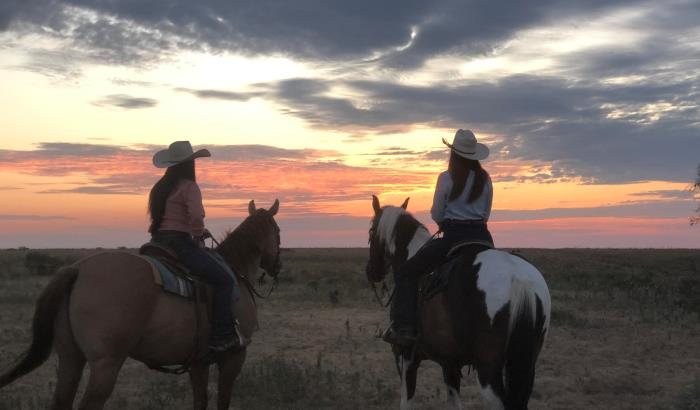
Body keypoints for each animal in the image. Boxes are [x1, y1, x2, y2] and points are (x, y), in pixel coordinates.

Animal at [0, 199, 278, 410]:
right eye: (277, 232)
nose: (276, 266)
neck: (235, 271)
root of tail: (78, 268)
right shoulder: (234, 357)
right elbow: (222, 401)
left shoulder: (199, 362)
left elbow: (200, 401)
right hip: (106, 364)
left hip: (70, 357)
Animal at [366, 197, 552, 408]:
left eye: (371, 231)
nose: (371, 271)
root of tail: (518, 279)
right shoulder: (449, 364)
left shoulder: (405, 358)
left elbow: (407, 402)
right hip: (526, 364)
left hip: (488, 370)